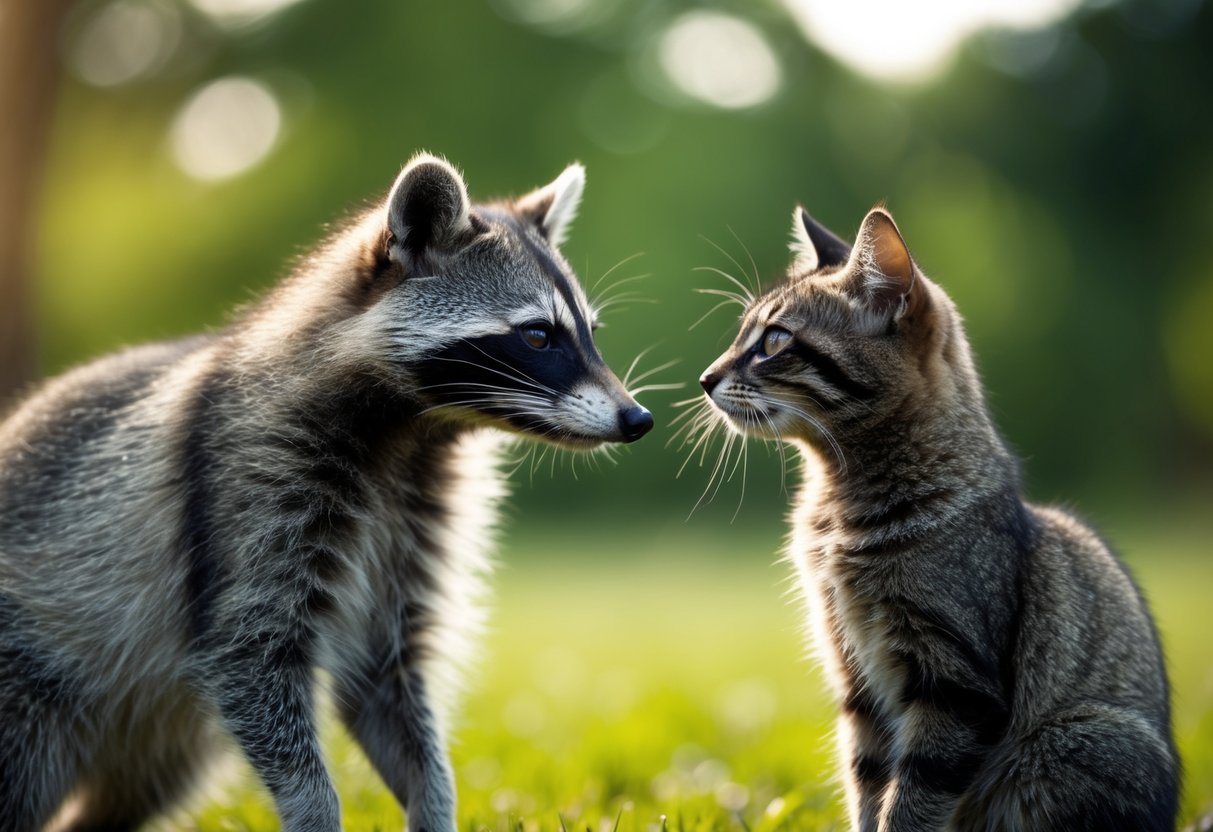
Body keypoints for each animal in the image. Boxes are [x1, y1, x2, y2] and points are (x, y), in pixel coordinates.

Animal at [0, 153, 653, 831]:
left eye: (590, 332)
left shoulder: (405, 535)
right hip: (29, 682)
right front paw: (315, 808)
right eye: (537, 336)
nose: (638, 419)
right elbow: (250, 656)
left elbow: (387, 684)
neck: (412, 436)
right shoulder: (248, 495)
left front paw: (434, 804)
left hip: (160, 736)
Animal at [695, 204, 1179, 831]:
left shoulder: (953, 684)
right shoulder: (856, 678)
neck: (838, 504)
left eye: (774, 339)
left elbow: (911, 800)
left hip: (1068, 745)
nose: (705, 377)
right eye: (742, 335)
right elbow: (868, 785)